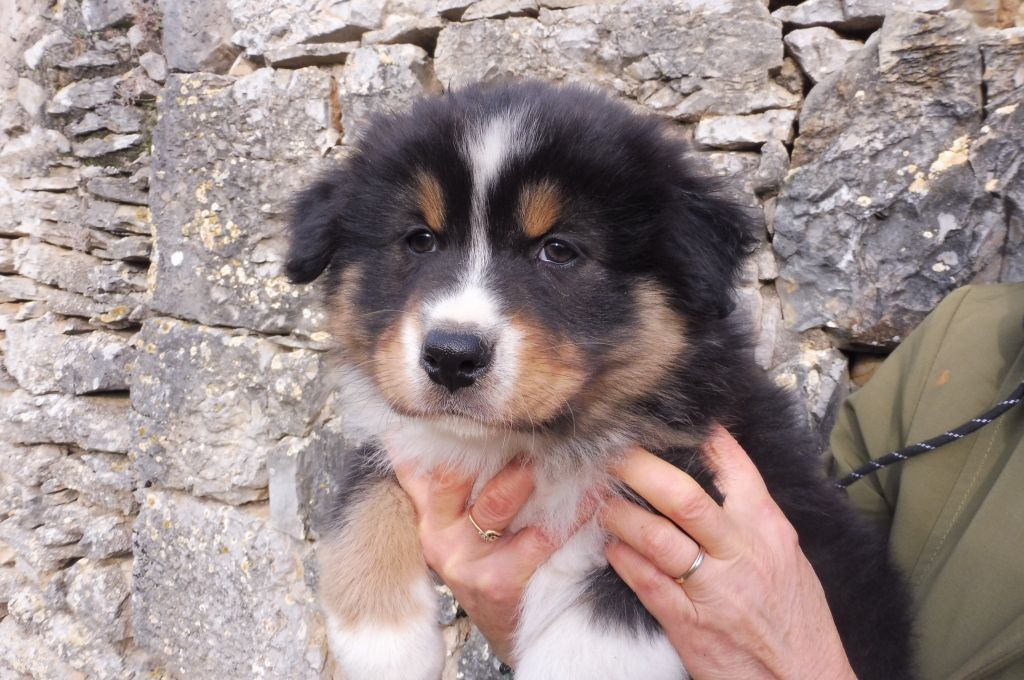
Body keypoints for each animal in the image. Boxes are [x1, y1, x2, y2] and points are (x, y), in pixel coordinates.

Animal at [286, 80, 913, 680]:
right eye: (419, 239)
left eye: (558, 250)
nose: (451, 357)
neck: (537, 445)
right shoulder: (406, 440)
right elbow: (361, 493)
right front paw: (381, 642)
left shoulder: (704, 483)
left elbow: (606, 622)